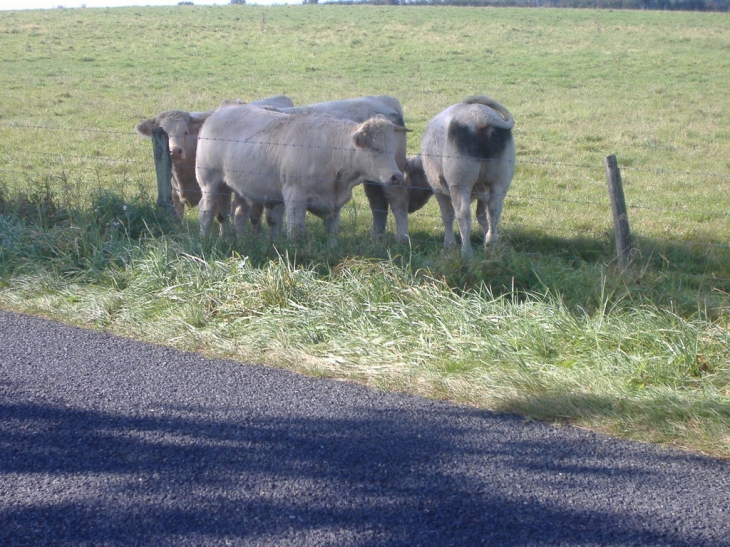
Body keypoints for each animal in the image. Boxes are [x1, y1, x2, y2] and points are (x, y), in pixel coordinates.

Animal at [193, 104, 406, 245]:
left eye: (392, 148)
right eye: (375, 148)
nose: (396, 176)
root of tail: (222, 110)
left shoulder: (334, 204)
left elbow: (332, 233)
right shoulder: (295, 197)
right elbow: (296, 232)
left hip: (237, 188)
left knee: (236, 215)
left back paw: (236, 240)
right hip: (210, 182)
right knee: (207, 210)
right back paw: (204, 239)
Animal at [418, 96, 516, 256]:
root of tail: (480, 117)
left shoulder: (437, 189)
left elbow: (447, 215)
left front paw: (448, 244)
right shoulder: (483, 192)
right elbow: (482, 216)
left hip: (460, 183)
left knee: (463, 214)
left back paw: (466, 252)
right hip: (500, 180)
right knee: (494, 211)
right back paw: (491, 243)